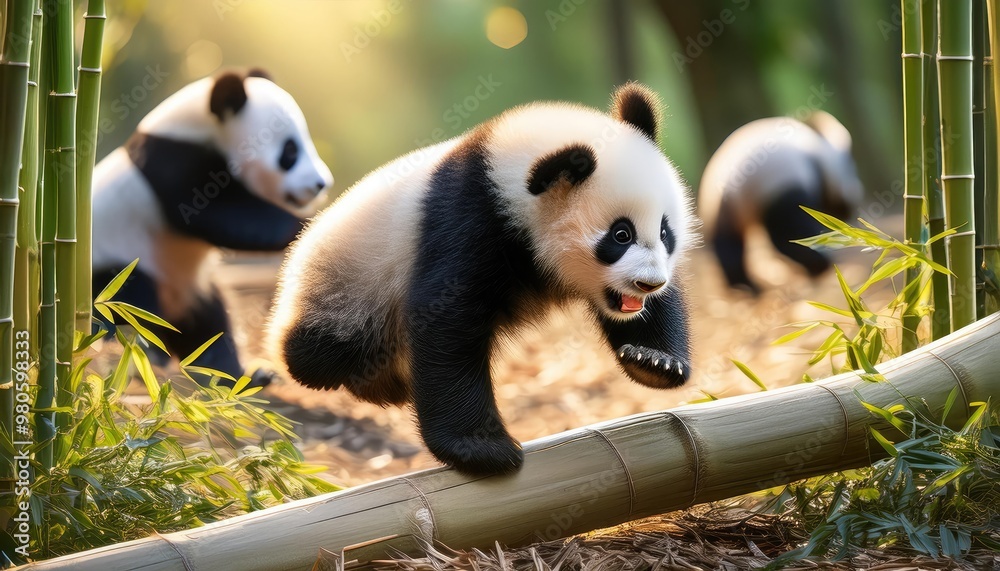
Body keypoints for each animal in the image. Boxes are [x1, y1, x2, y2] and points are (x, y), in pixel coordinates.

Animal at [92, 69, 333, 386]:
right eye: (289, 152)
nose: (321, 184)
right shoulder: (173, 162)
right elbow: (215, 213)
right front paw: (308, 224)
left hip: (193, 286)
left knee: (211, 324)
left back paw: (240, 374)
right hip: (115, 259)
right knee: (126, 300)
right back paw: (140, 351)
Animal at [267, 83, 695, 476]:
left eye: (665, 232)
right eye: (620, 235)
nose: (649, 284)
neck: (503, 176)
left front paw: (653, 360)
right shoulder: (468, 221)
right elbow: (445, 318)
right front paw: (482, 449)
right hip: (347, 286)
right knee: (322, 350)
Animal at [698, 112, 863, 294]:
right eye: (852, 170)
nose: (857, 192)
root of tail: (728, 185)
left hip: (718, 210)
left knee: (726, 244)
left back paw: (743, 285)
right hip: (770, 184)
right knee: (787, 234)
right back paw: (818, 264)